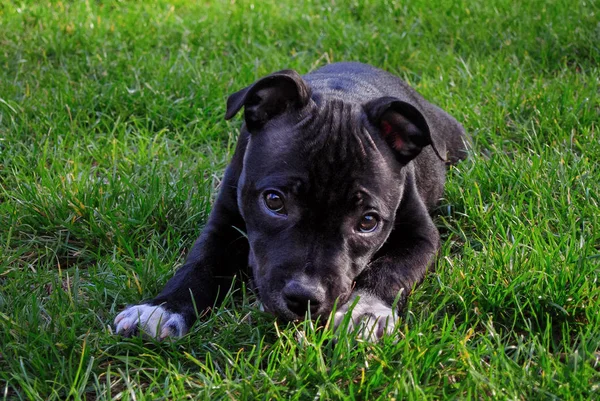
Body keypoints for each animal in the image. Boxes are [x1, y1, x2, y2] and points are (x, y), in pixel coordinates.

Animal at [113, 61, 468, 340]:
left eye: (367, 222)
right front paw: (160, 309)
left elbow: (391, 270)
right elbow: (200, 263)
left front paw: (364, 311)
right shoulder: (223, 224)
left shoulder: (421, 237)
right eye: (274, 201)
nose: (304, 297)